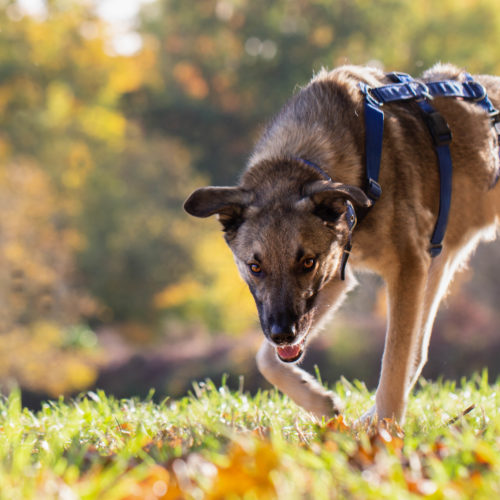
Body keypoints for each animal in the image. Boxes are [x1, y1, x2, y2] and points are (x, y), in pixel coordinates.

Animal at [184, 63, 500, 422]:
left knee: (409, 354)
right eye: (255, 267)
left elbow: (393, 362)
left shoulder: (406, 268)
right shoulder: (336, 278)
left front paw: (385, 430)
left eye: (307, 262)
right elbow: (266, 358)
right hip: (438, 262)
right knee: (418, 352)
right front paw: (318, 401)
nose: (283, 333)